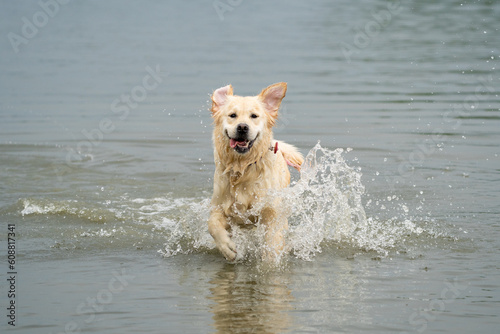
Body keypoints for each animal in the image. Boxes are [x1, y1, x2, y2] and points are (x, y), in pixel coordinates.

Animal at [208, 82, 302, 262]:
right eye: (232, 115)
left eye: (254, 116)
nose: (242, 127)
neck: (243, 167)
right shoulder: (220, 204)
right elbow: (212, 225)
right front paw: (227, 248)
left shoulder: (271, 209)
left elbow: (273, 237)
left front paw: (270, 258)